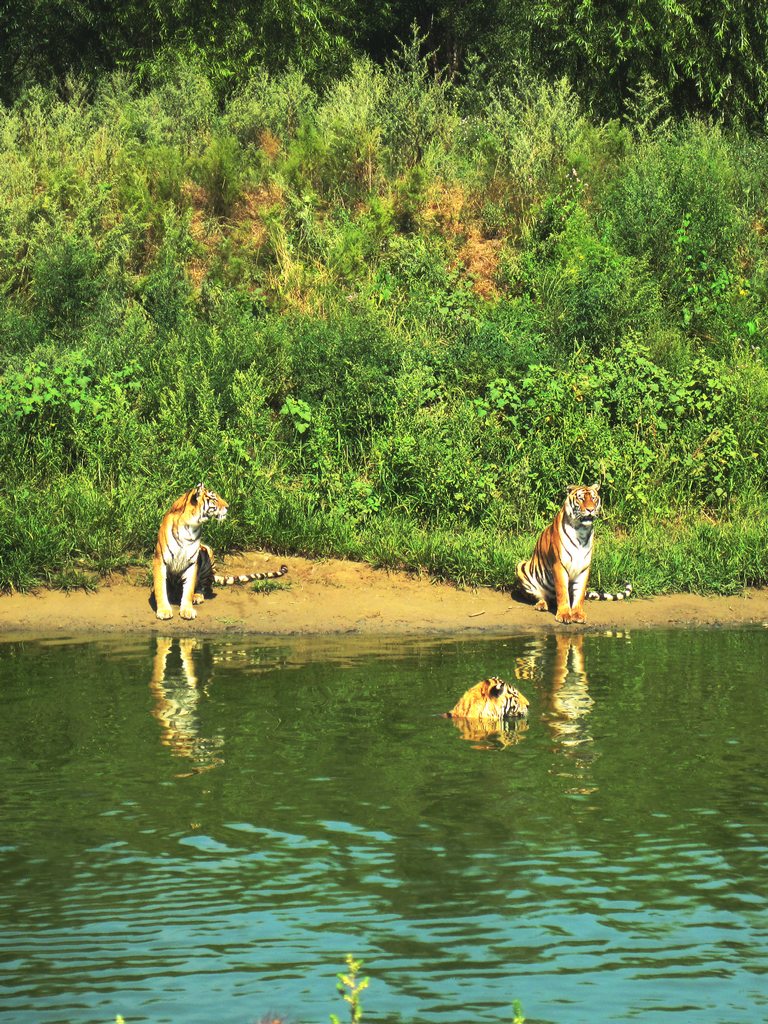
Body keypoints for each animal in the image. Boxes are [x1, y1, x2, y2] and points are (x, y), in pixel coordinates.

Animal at [152, 483, 288, 618]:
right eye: (214, 499)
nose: (228, 506)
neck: (190, 527)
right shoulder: (160, 560)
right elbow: (160, 587)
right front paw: (164, 610)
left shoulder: (192, 563)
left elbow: (189, 589)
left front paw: (187, 610)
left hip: (207, 555)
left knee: (203, 585)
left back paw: (197, 596)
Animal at [518, 485, 630, 626]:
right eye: (581, 498)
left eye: (593, 498)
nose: (590, 509)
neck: (581, 531)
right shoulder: (559, 564)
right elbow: (562, 591)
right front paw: (564, 615)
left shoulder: (584, 567)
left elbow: (579, 593)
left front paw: (577, 614)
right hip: (521, 566)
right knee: (541, 596)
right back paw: (541, 604)